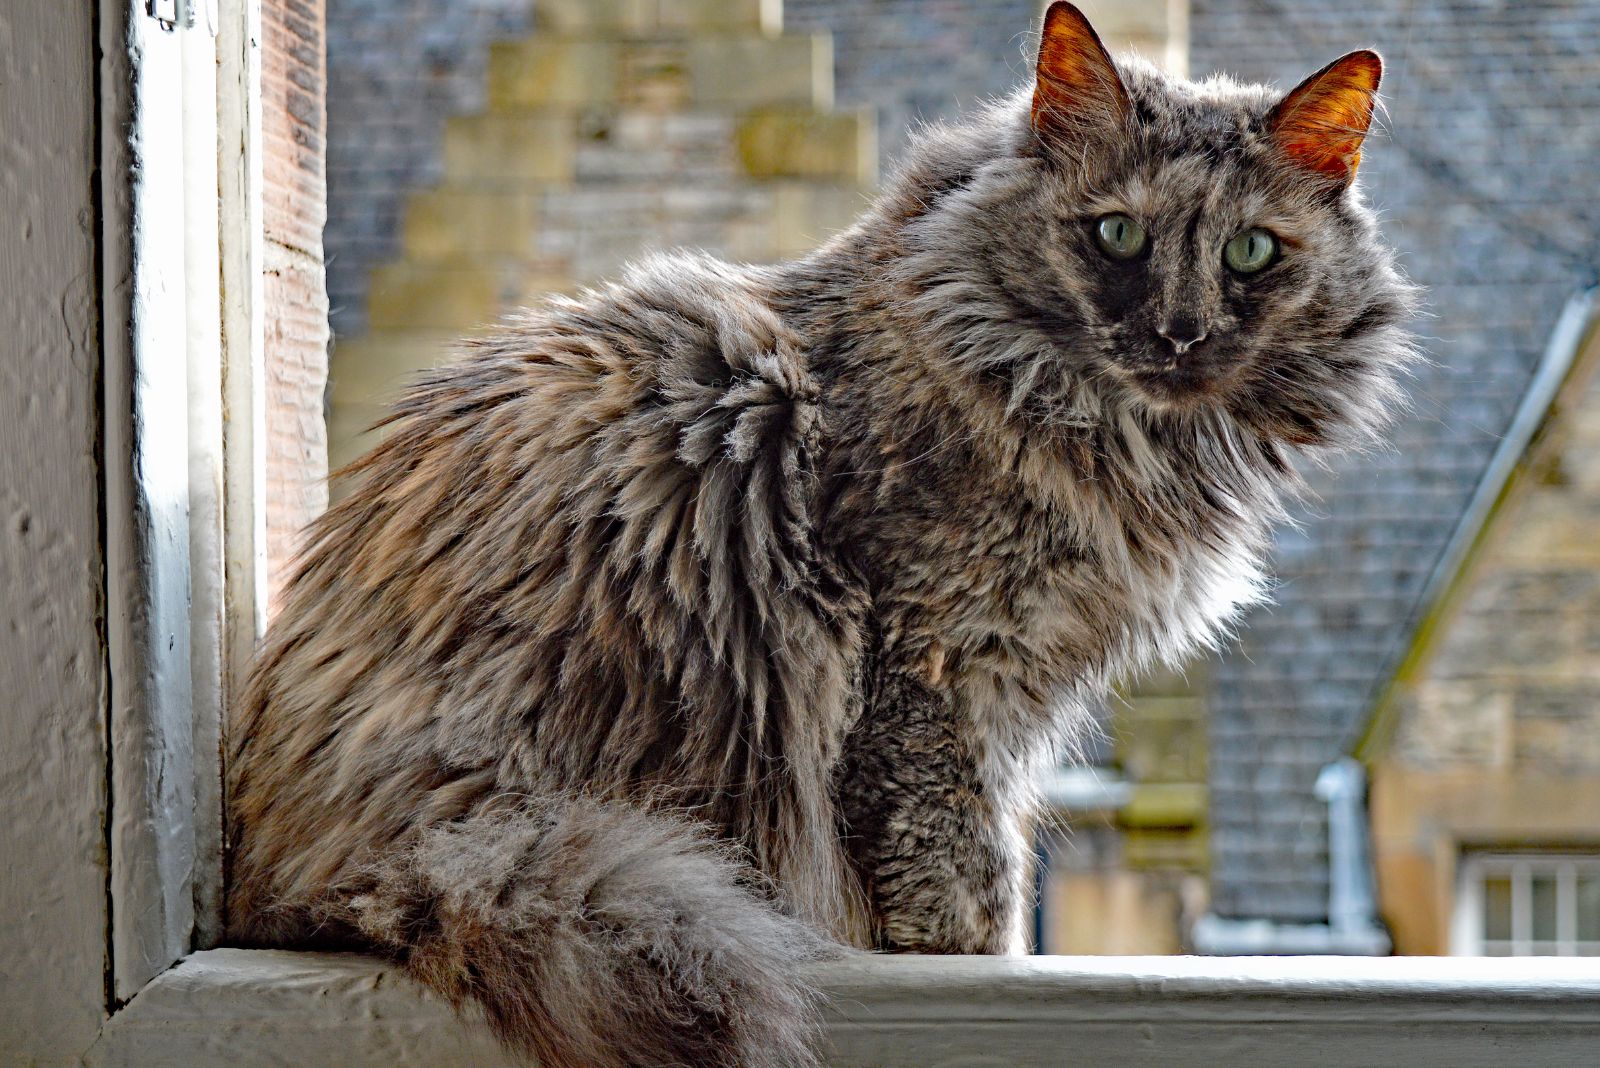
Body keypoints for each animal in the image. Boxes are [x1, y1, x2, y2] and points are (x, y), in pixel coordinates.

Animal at [225, 4, 1414, 1061]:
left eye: (1252, 253)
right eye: (1116, 235)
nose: (1177, 334)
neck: (1122, 434)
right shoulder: (933, 670)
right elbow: (961, 876)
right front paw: (974, 967)